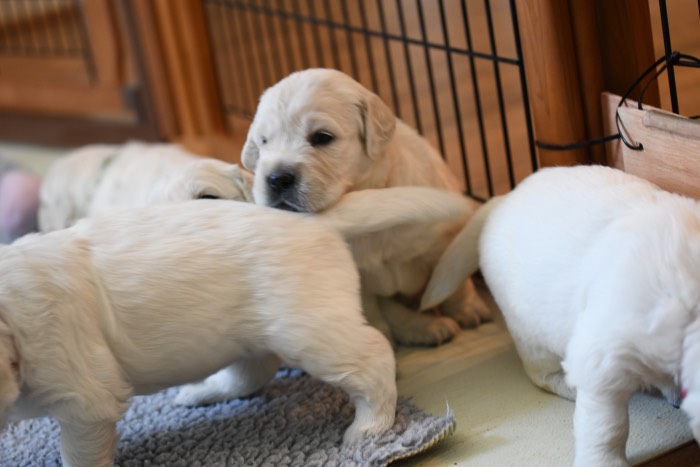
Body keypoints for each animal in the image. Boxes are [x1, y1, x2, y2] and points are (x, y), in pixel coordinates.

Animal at [239, 68, 486, 348]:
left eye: (322, 137)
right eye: (264, 141)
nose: (277, 179)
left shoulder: (441, 240)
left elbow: (453, 281)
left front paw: (469, 310)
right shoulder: (356, 280)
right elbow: (372, 313)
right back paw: (427, 328)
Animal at [424, 166, 700, 466]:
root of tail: (502, 199)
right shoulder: (604, 356)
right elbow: (608, 424)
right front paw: (604, 461)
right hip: (531, 335)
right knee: (540, 373)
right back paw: (568, 387)